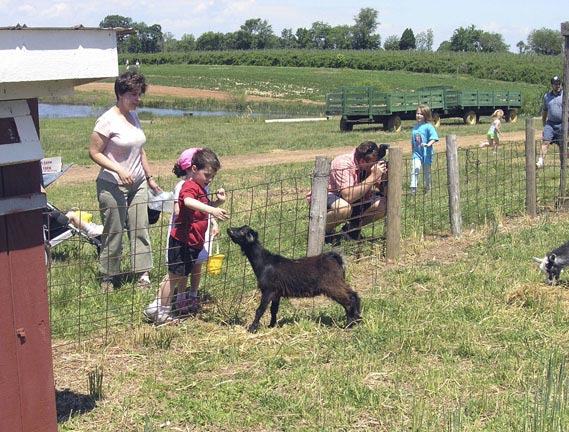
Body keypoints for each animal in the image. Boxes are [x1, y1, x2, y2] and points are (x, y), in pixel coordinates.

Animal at [225, 224, 360, 332]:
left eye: (243, 232)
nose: (229, 229)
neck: (264, 262)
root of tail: (336, 258)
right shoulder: (276, 293)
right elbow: (273, 310)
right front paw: (271, 325)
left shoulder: (268, 290)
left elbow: (260, 310)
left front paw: (252, 328)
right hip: (339, 282)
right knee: (354, 294)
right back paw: (357, 318)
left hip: (332, 285)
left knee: (348, 301)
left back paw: (348, 324)